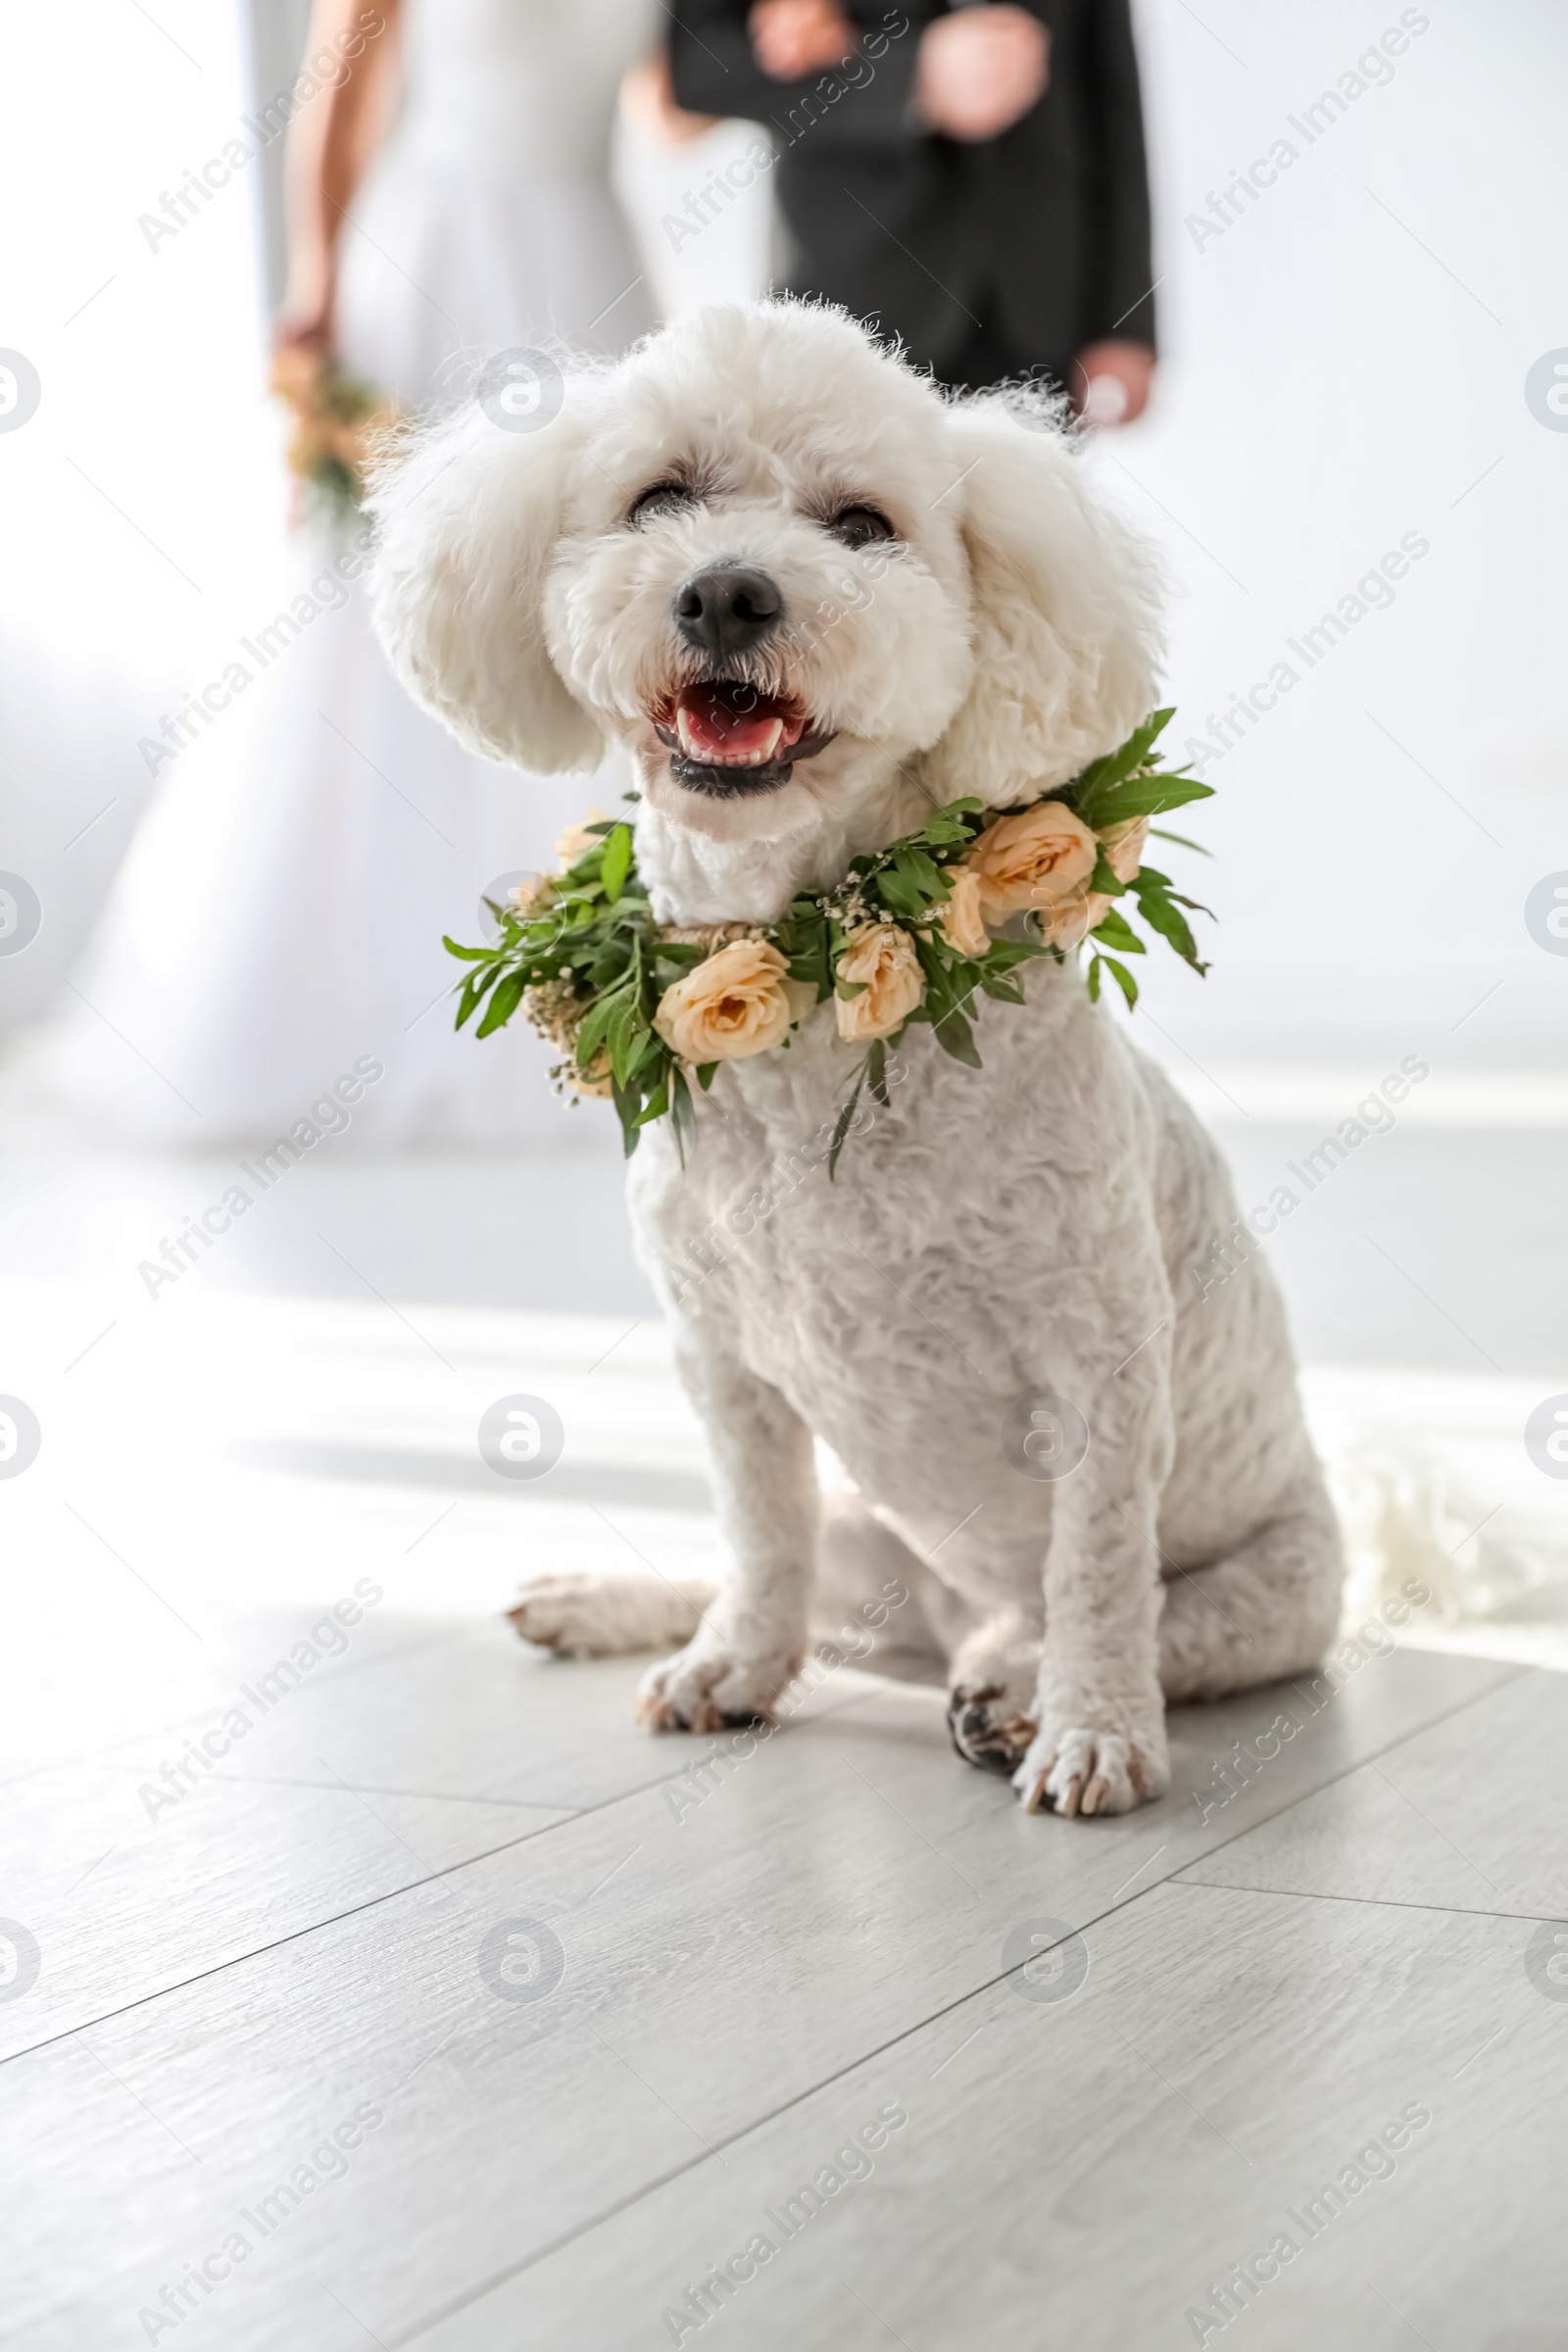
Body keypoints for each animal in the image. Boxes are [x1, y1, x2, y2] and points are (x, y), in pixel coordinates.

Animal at [368, 298, 1335, 1815]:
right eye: (659, 498)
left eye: (863, 524)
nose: (726, 595)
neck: (815, 1016)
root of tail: (946, 1612)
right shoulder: (726, 1367)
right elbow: (757, 1539)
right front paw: (728, 1667)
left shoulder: (1101, 1366)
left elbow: (1102, 1567)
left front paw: (1094, 1732)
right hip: (872, 1533)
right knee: (795, 1575)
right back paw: (613, 1605)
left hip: (1278, 1591)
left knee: (1140, 1618)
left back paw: (1016, 1686)